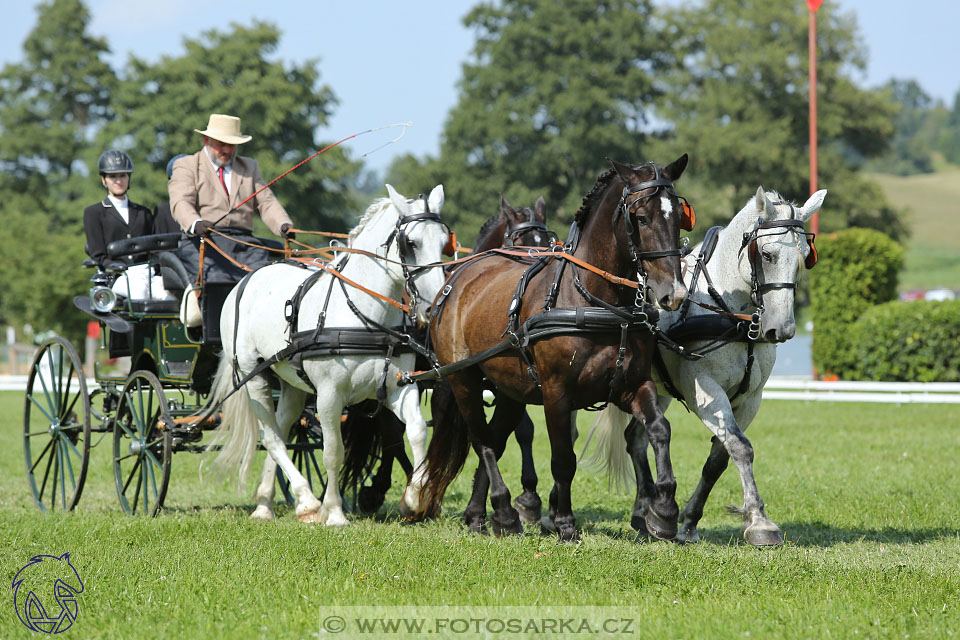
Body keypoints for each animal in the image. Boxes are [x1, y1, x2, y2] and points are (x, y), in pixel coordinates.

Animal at [205, 185, 450, 524]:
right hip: (252, 377)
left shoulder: (399, 386)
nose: (432, 305)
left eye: (444, 242)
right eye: (410, 243)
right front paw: (333, 511)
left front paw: (414, 498)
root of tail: (246, 279)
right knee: (271, 437)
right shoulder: (330, 396)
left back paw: (268, 502)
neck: (363, 315)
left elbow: (416, 432)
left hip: (292, 383)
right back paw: (308, 501)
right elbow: (334, 451)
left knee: (282, 427)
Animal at [418, 156, 688, 540]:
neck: (595, 299)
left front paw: (663, 510)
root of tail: (454, 281)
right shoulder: (556, 394)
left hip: (510, 391)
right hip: (464, 381)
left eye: (678, 214)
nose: (674, 293)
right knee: (482, 441)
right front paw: (564, 522)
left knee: (495, 439)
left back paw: (480, 515)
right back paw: (503, 510)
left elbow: (659, 429)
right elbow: (563, 459)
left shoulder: (632, 384)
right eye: (640, 218)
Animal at [580, 186, 828, 544]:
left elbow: (719, 459)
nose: (781, 329)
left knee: (636, 438)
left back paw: (644, 512)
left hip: (656, 387)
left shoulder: (750, 399)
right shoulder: (704, 392)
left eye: (805, 257)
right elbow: (741, 447)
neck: (731, 312)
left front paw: (689, 521)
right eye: (766, 254)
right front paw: (759, 521)